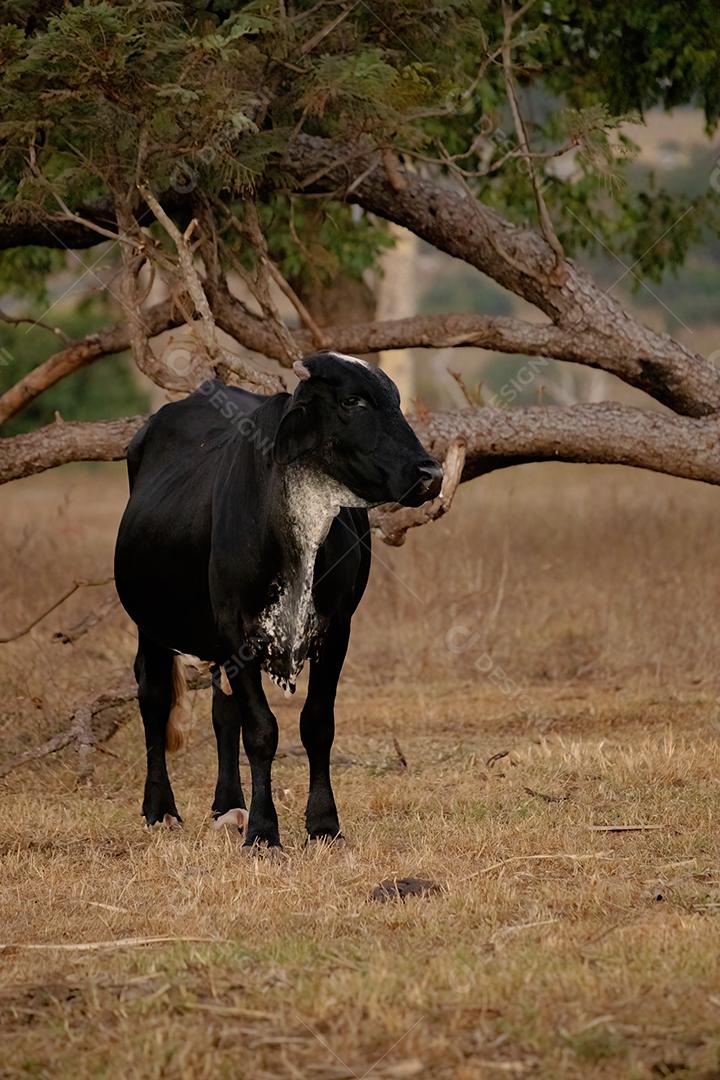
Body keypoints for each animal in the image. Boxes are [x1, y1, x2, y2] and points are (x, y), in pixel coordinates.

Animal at [114, 349, 442, 846]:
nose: (430, 473)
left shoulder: (336, 628)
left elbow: (316, 724)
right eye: (353, 402)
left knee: (223, 711)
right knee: (153, 697)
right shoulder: (237, 630)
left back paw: (229, 805)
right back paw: (161, 808)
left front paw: (323, 823)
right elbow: (261, 731)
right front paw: (265, 831)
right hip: (150, 623)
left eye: (397, 401)